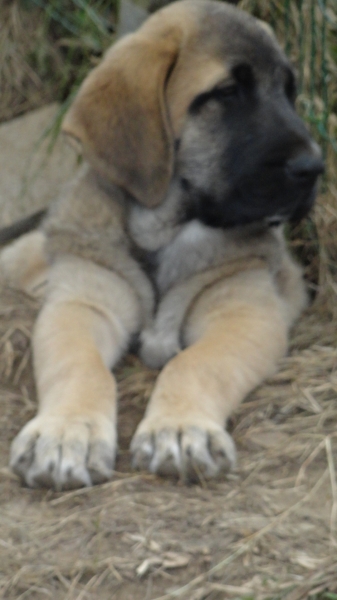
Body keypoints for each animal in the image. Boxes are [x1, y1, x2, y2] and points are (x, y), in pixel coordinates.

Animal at [2, 0, 322, 488]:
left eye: (289, 92)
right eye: (228, 91)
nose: (315, 167)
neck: (167, 230)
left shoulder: (244, 313)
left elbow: (193, 363)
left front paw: (180, 427)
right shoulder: (82, 303)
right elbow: (80, 364)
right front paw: (65, 432)